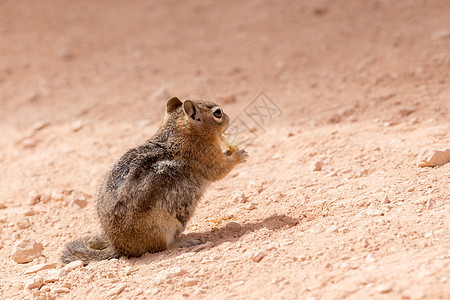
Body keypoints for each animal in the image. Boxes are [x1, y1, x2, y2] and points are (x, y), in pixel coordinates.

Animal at [60, 97, 248, 264]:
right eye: (218, 113)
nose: (228, 117)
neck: (177, 133)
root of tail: (118, 247)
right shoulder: (206, 156)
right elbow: (219, 171)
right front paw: (239, 154)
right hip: (163, 227)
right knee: (161, 247)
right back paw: (184, 241)